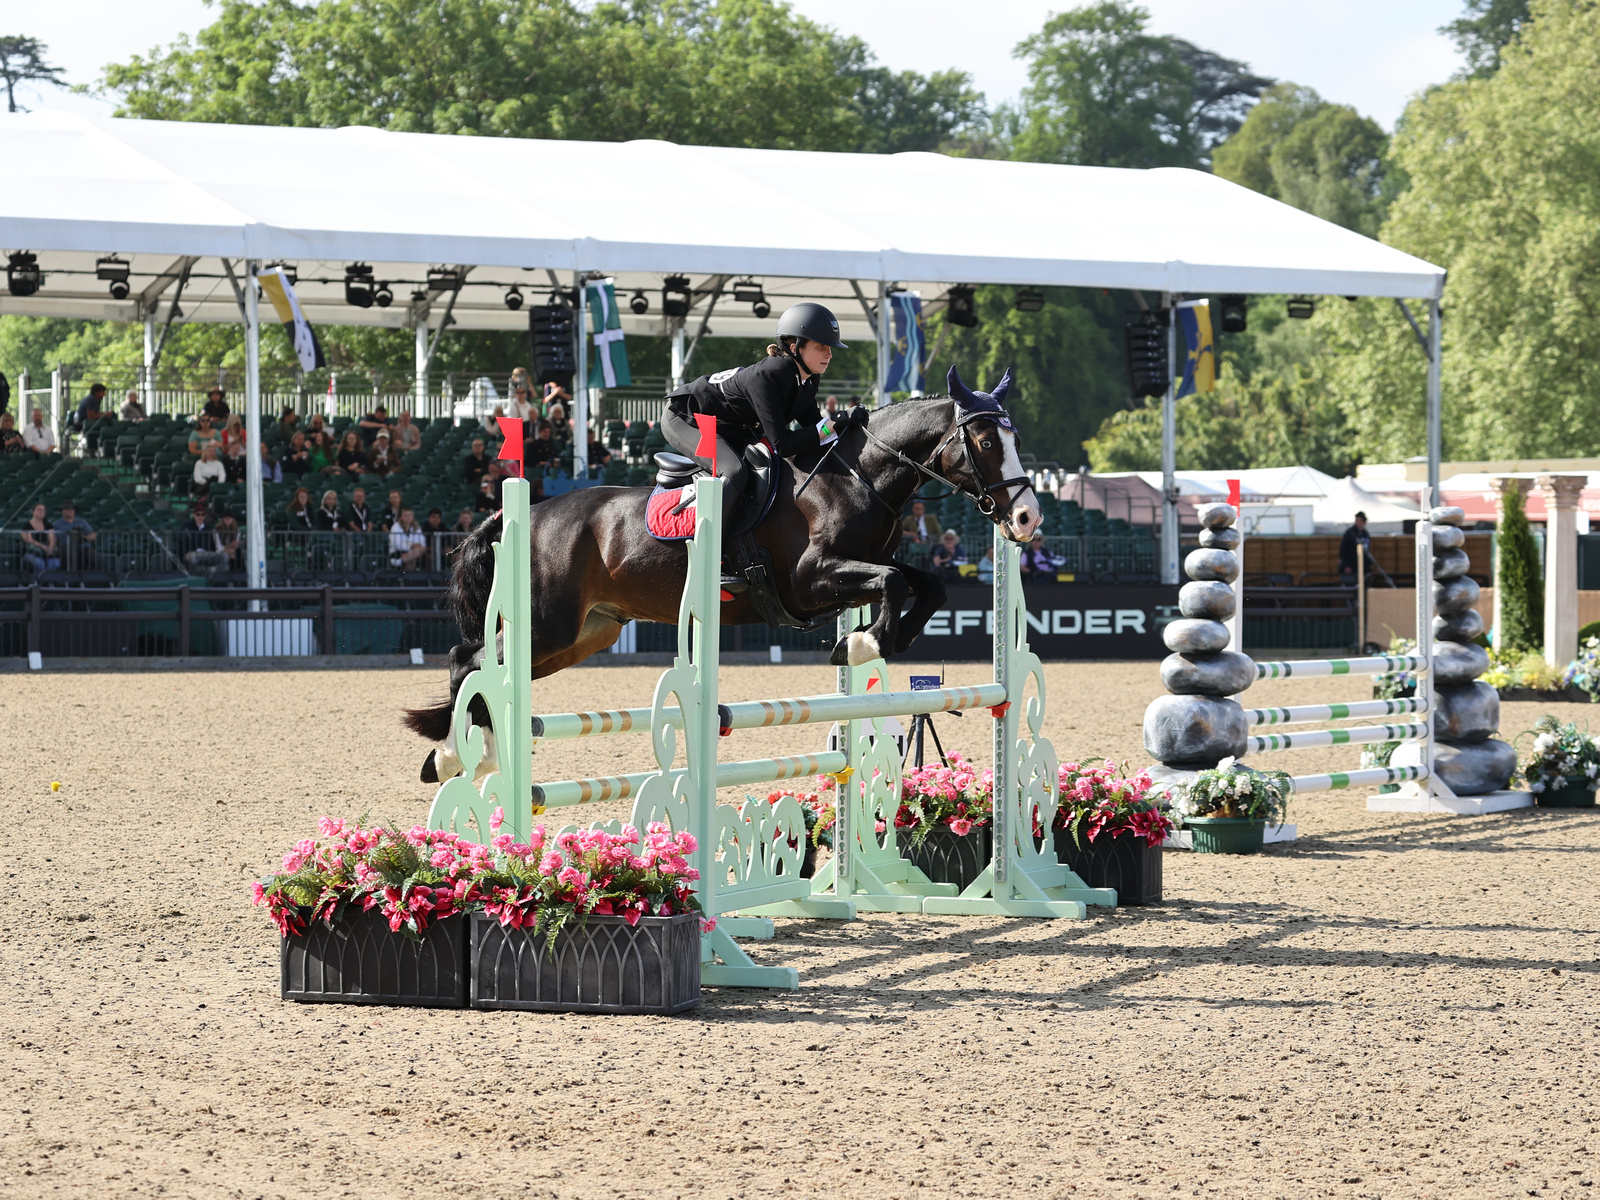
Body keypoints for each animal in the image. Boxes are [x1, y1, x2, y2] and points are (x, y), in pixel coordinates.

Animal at [406, 366, 1043, 784]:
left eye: (1016, 438)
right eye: (985, 439)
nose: (1027, 518)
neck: (857, 476)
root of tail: (526, 513)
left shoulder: (855, 569)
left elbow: (926, 584)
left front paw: (877, 639)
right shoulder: (809, 582)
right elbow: (895, 583)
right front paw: (864, 643)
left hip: (587, 633)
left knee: (489, 666)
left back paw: (466, 754)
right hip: (549, 622)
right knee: (468, 660)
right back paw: (455, 756)